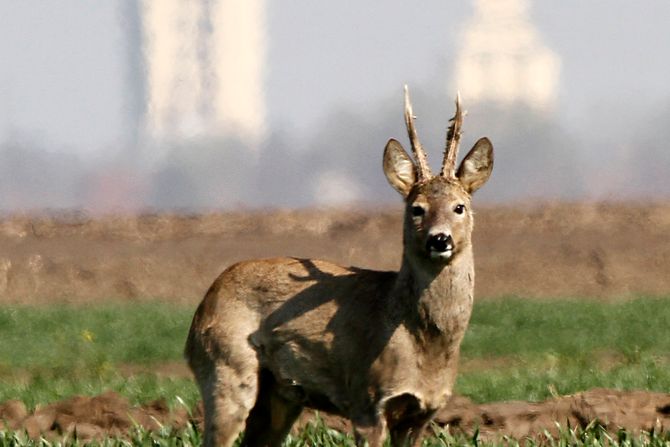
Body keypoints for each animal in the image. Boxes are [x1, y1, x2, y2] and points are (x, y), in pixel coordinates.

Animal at [186, 86, 496, 446]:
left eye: (459, 207)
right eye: (416, 208)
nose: (440, 239)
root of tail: (202, 306)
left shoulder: (422, 413)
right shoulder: (366, 400)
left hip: (279, 395)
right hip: (224, 367)